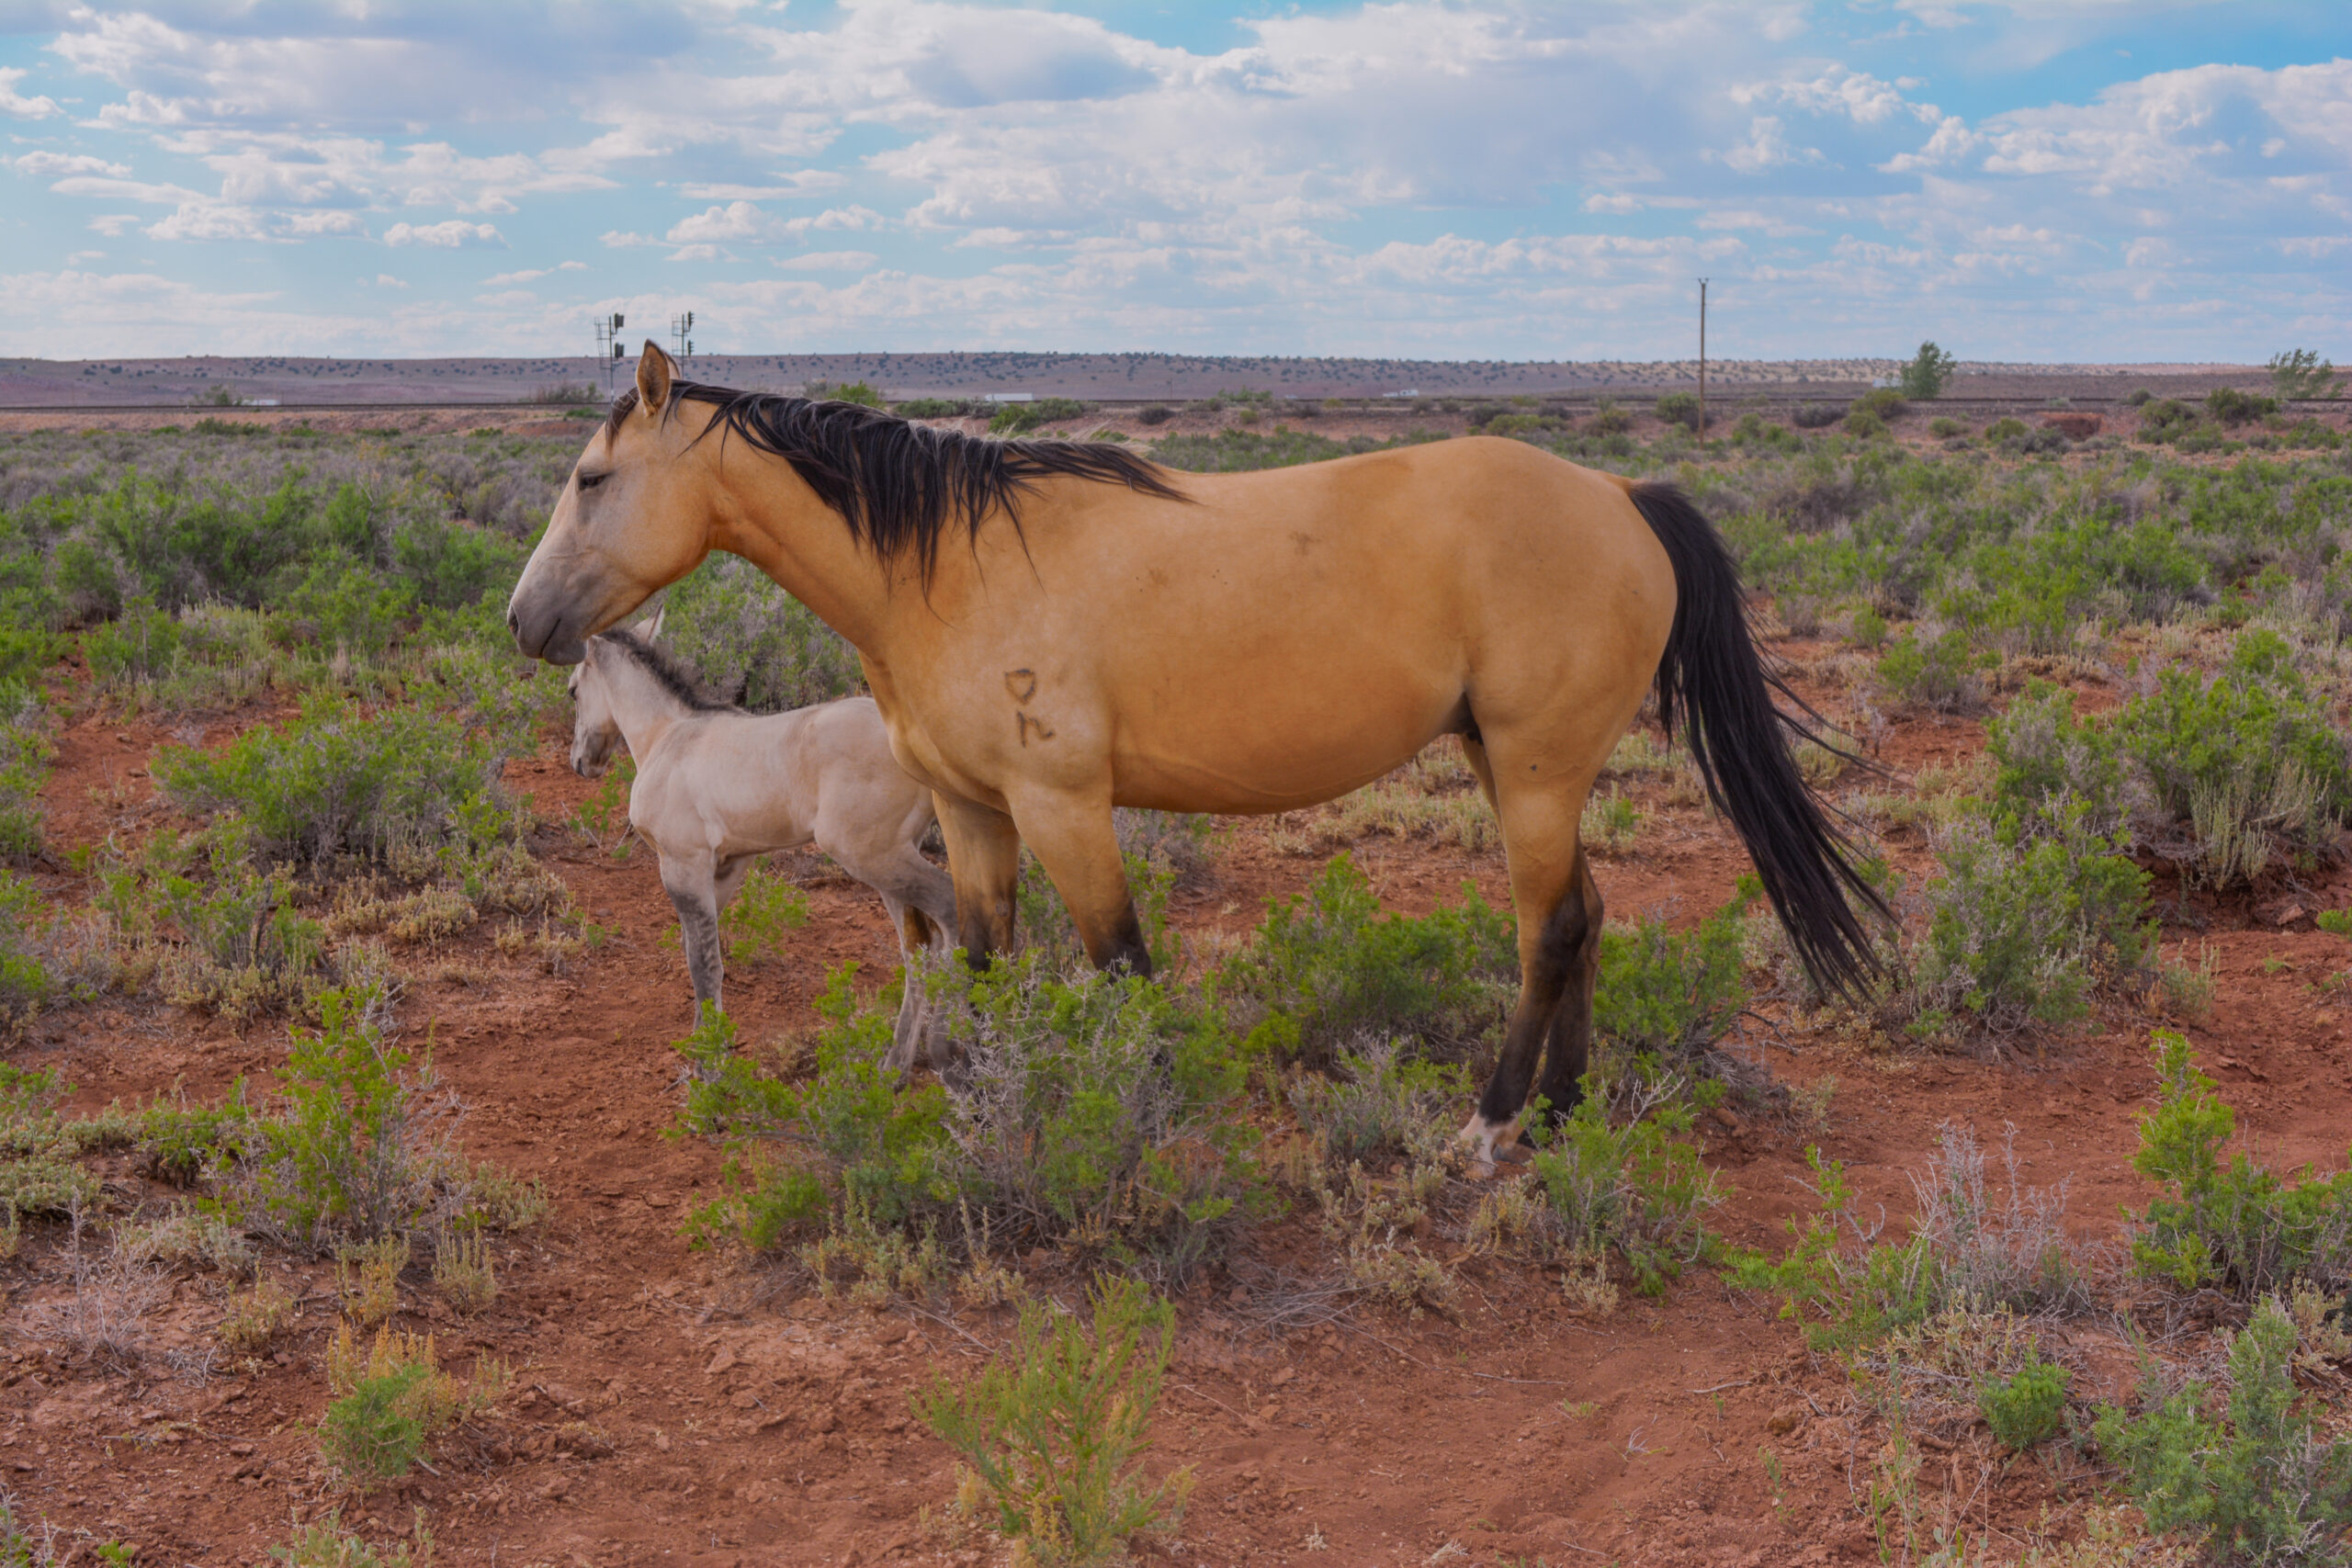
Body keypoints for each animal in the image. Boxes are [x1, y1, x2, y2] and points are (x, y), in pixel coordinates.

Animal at [565, 621, 958, 1073]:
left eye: (572, 690)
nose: (581, 762)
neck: (669, 736)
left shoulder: (682, 863)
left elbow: (704, 964)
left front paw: (709, 1066)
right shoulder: (728, 865)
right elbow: (698, 951)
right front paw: (704, 1044)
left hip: (871, 854)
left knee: (949, 909)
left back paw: (946, 1049)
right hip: (892, 859)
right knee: (918, 947)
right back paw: (894, 1067)